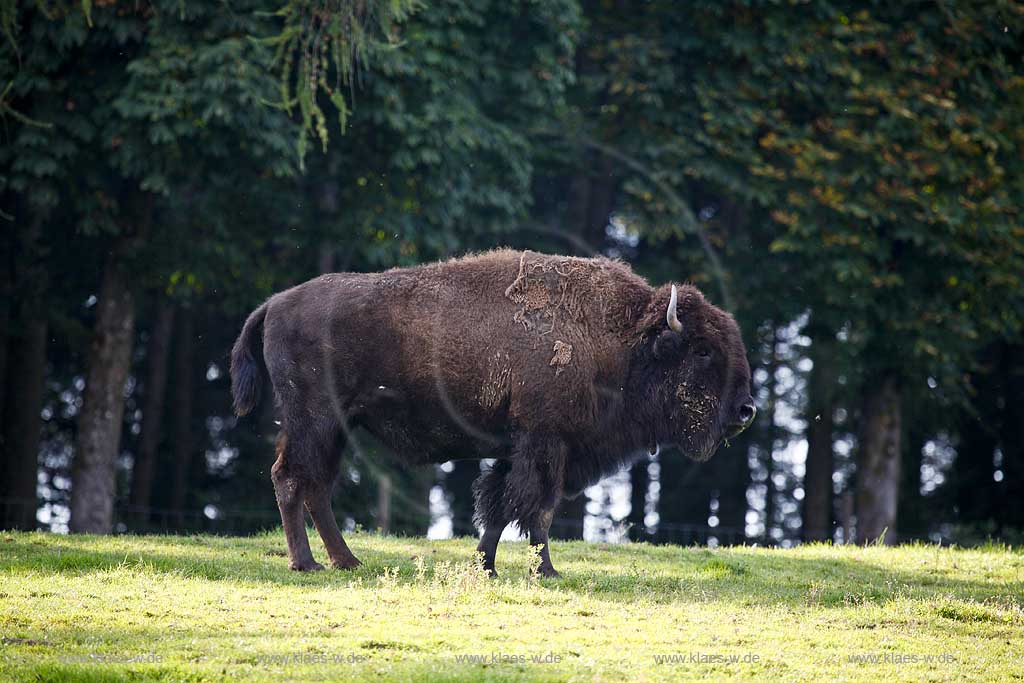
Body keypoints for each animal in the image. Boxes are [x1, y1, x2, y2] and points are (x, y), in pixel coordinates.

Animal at [234, 248, 761, 573]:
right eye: (702, 351)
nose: (746, 410)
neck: (624, 338)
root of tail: (274, 303)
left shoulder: (520, 448)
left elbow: (499, 505)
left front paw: (484, 565)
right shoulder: (548, 444)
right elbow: (536, 508)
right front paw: (546, 571)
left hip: (338, 427)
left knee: (317, 486)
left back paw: (347, 561)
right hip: (314, 419)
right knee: (291, 479)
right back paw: (306, 563)